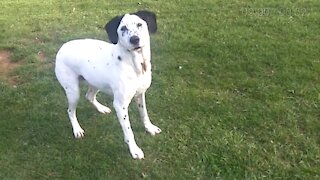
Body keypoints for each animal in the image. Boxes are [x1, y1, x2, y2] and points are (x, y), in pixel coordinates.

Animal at [54, 10, 162, 159]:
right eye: (123, 28)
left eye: (139, 24)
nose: (134, 39)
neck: (134, 65)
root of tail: (62, 47)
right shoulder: (120, 106)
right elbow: (129, 131)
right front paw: (134, 150)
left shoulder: (140, 95)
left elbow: (144, 114)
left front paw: (149, 128)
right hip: (73, 92)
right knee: (70, 111)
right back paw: (77, 129)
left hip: (95, 82)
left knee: (89, 96)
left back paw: (101, 109)